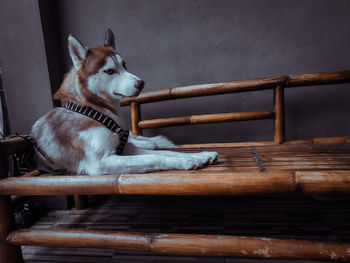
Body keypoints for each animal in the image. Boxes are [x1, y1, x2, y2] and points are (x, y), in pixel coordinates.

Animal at [31, 29, 217, 175]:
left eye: (125, 65)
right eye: (109, 71)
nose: (141, 83)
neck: (91, 108)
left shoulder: (125, 149)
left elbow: (169, 153)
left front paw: (198, 155)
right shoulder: (101, 163)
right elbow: (155, 157)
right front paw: (187, 161)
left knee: (133, 137)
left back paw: (150, 142)